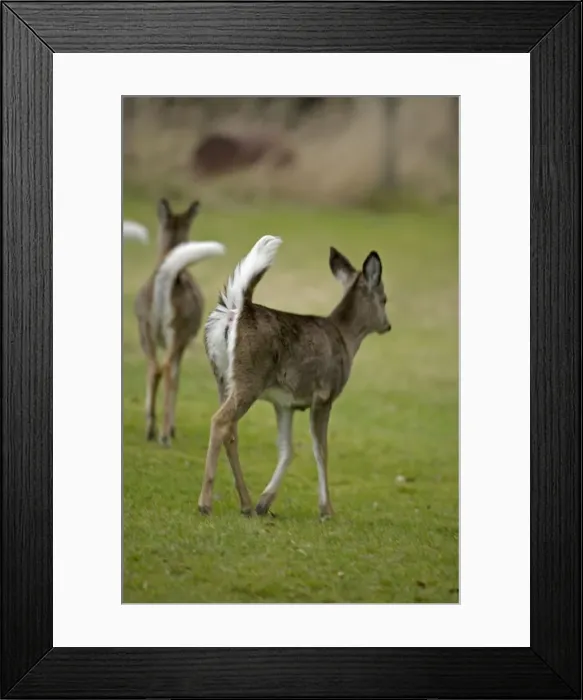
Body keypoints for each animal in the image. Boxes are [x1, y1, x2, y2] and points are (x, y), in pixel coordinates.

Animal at [133, 198, 225, 447]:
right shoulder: (186, 338)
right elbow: (177, 375)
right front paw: (172, 429)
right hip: (177, 329)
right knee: (166, 369)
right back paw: (164, 435)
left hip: (144, 326)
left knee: (152, 367)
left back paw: (150, 430)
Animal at [198, 235, 391, 519]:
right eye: (384, 298)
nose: (387, 325)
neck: (345, 338)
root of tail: (236, 310)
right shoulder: (324, 396)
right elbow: (321, 451)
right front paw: (327, 509)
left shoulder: (285, 403)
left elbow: (287, 449)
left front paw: (265, 502)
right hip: (249, 379)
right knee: (220, 421)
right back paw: (205, 503)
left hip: (222, 378)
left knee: (231, 431)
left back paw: (247, 504)